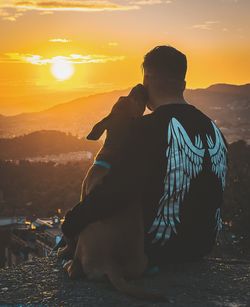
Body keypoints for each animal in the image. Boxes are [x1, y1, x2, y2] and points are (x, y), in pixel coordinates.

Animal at [57, 85, 165, 302]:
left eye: (124, 98)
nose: (140, 86)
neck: (116, 149)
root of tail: (113, 267)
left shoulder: (83, 198)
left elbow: (70, 237)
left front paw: (63, 251)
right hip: (141, 262)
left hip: (86, 233)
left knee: (75, 269)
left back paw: (68, 265)